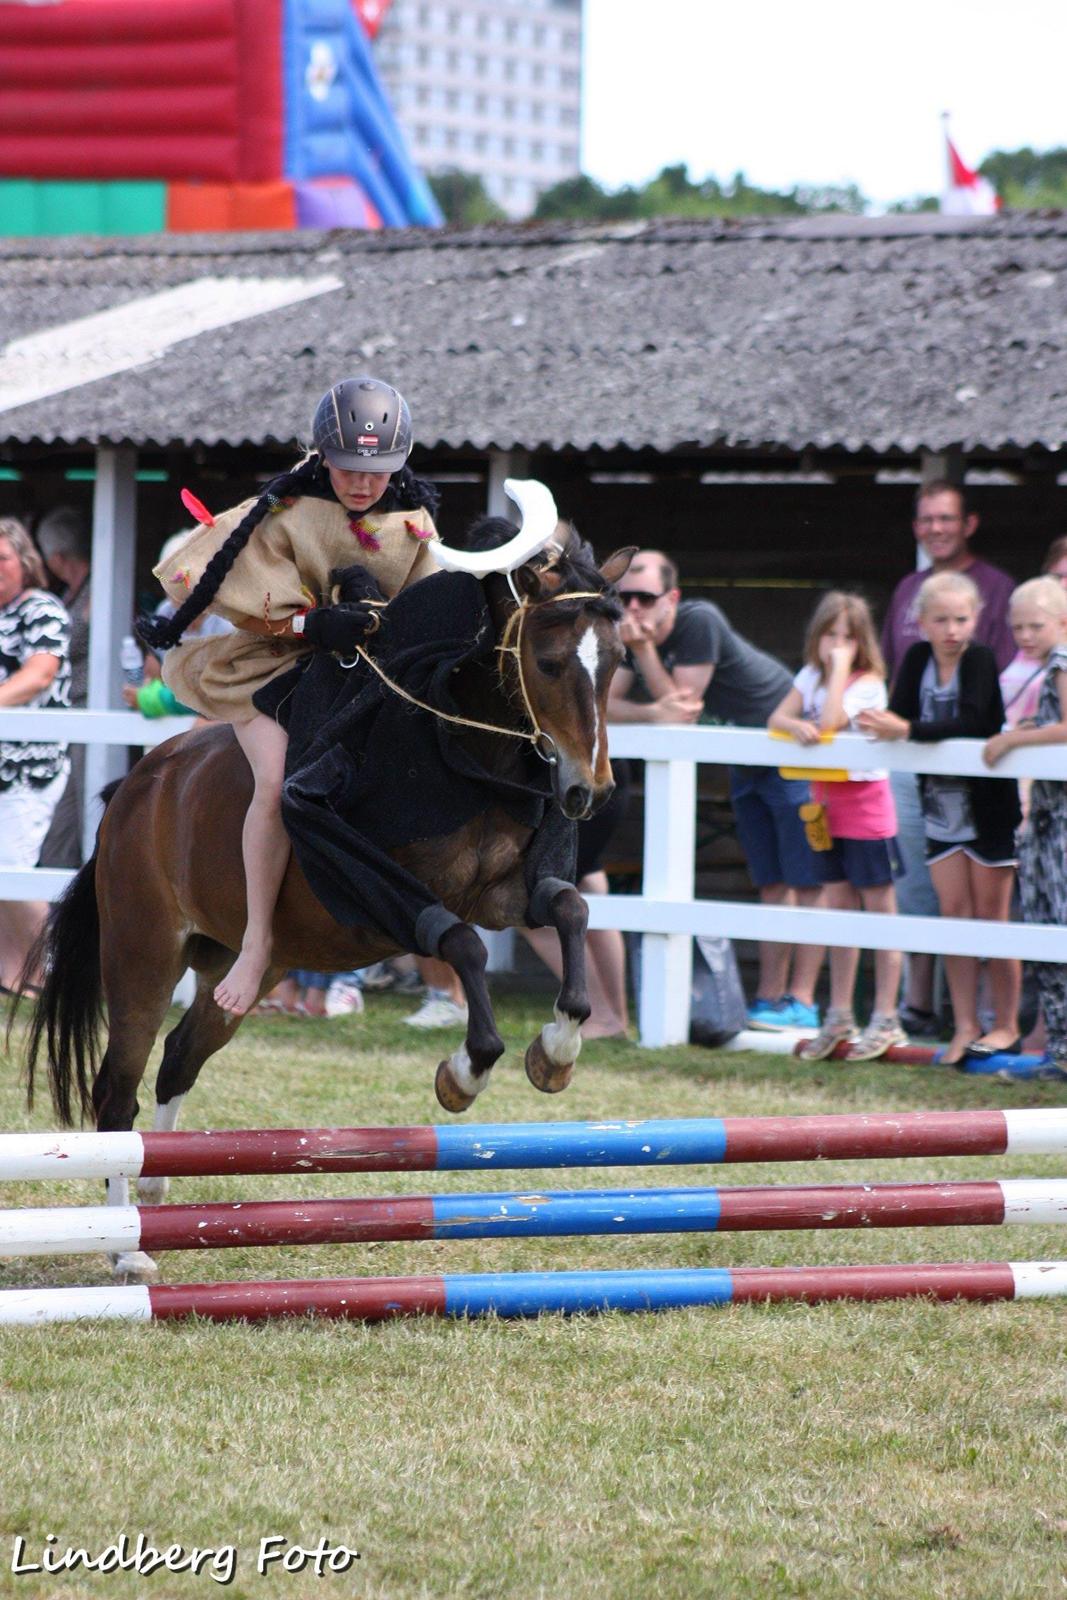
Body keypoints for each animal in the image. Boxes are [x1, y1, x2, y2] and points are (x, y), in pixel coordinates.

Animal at [20, 518, 633, 1267]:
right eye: (547, 664)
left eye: (618, 661)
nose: (589, 792)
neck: (456, 752)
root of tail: (132, 791)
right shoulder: (380, 899)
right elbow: (459, 943)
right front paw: (466, 1071)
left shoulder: (499, 895)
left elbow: (569, 908)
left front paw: (557, 1049)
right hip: (144, 957)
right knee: (117, 1090)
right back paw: (123, 1242)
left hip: (245, 965)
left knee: (179, 1059)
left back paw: (157, 1186)